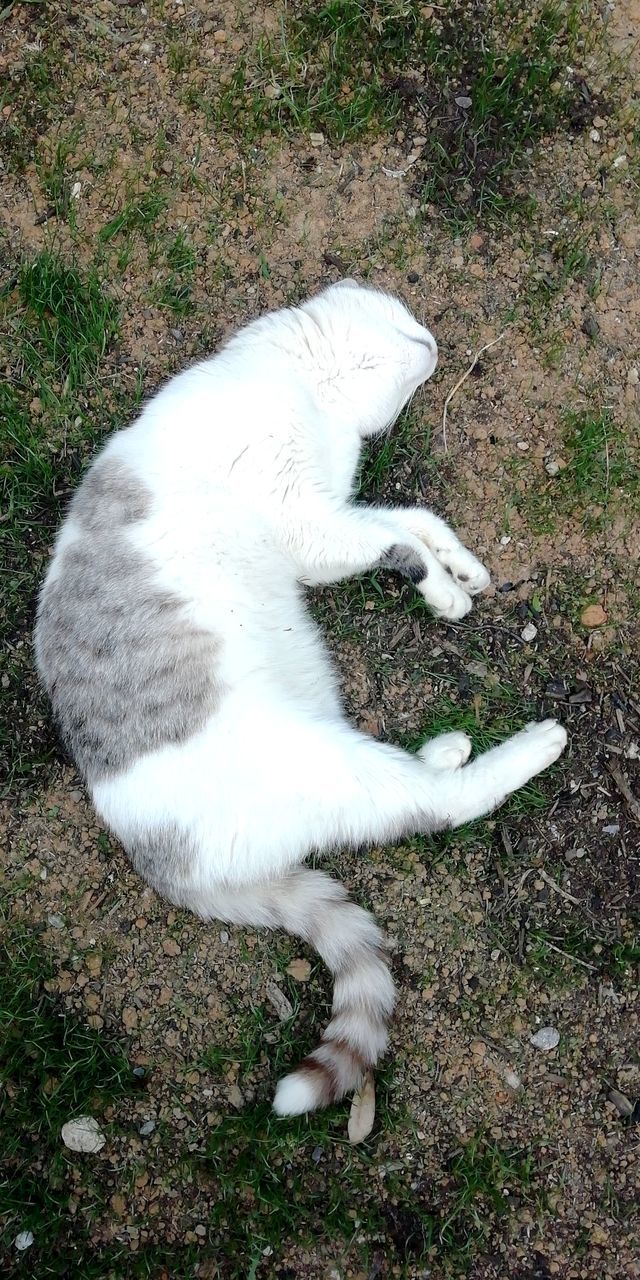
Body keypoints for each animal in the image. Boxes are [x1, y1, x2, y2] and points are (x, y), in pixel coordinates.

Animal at [35, 280, 568, 1111]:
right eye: (405, 320)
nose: (433, 341)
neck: (313, 396)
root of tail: (160, 864)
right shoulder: (305, 516)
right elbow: (396, 538)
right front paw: (443, 589)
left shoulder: (325, 518)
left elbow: (410, 518)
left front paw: (461, 569)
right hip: (319, 760)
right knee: (436, 806)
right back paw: (532, 745)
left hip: (319, 706)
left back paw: (447, 748)